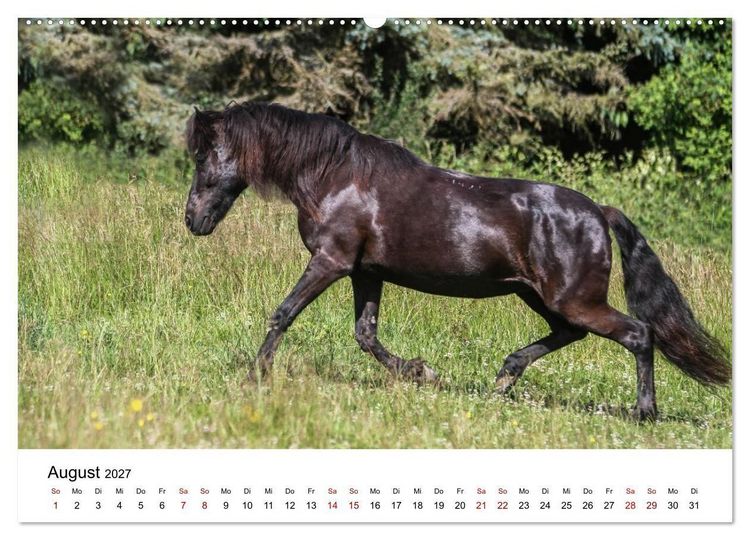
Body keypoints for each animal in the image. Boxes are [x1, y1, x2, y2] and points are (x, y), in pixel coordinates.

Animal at [183, 101, 730, 421]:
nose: (193, 219)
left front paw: (256, 375)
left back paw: (643, 413)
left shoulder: (331, 262)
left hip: (573, 298)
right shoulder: (365, 272)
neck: (334, 175)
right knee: (570, 334)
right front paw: (420, 372)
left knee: (638, 334)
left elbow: (283, 313)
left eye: (205, 154)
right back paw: (504, 379)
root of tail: (599, 211)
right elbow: (366, 335)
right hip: (539, 295)